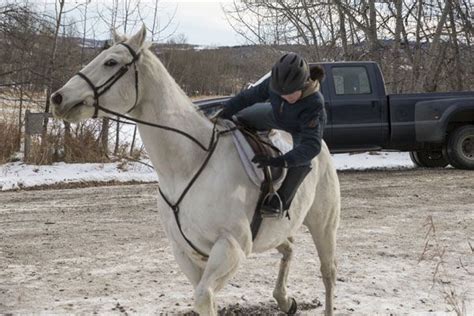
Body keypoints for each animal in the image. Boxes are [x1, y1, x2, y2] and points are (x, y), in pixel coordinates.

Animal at [51, 27, 340, 316]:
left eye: (111, 62)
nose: (58, 98)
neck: (186, 166)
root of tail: (323, 147)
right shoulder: (185, 252)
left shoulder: (231, 247)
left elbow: (203, 297)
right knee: (288, 249)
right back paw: (284, 299)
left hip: (323, 225)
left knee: (328, 272)